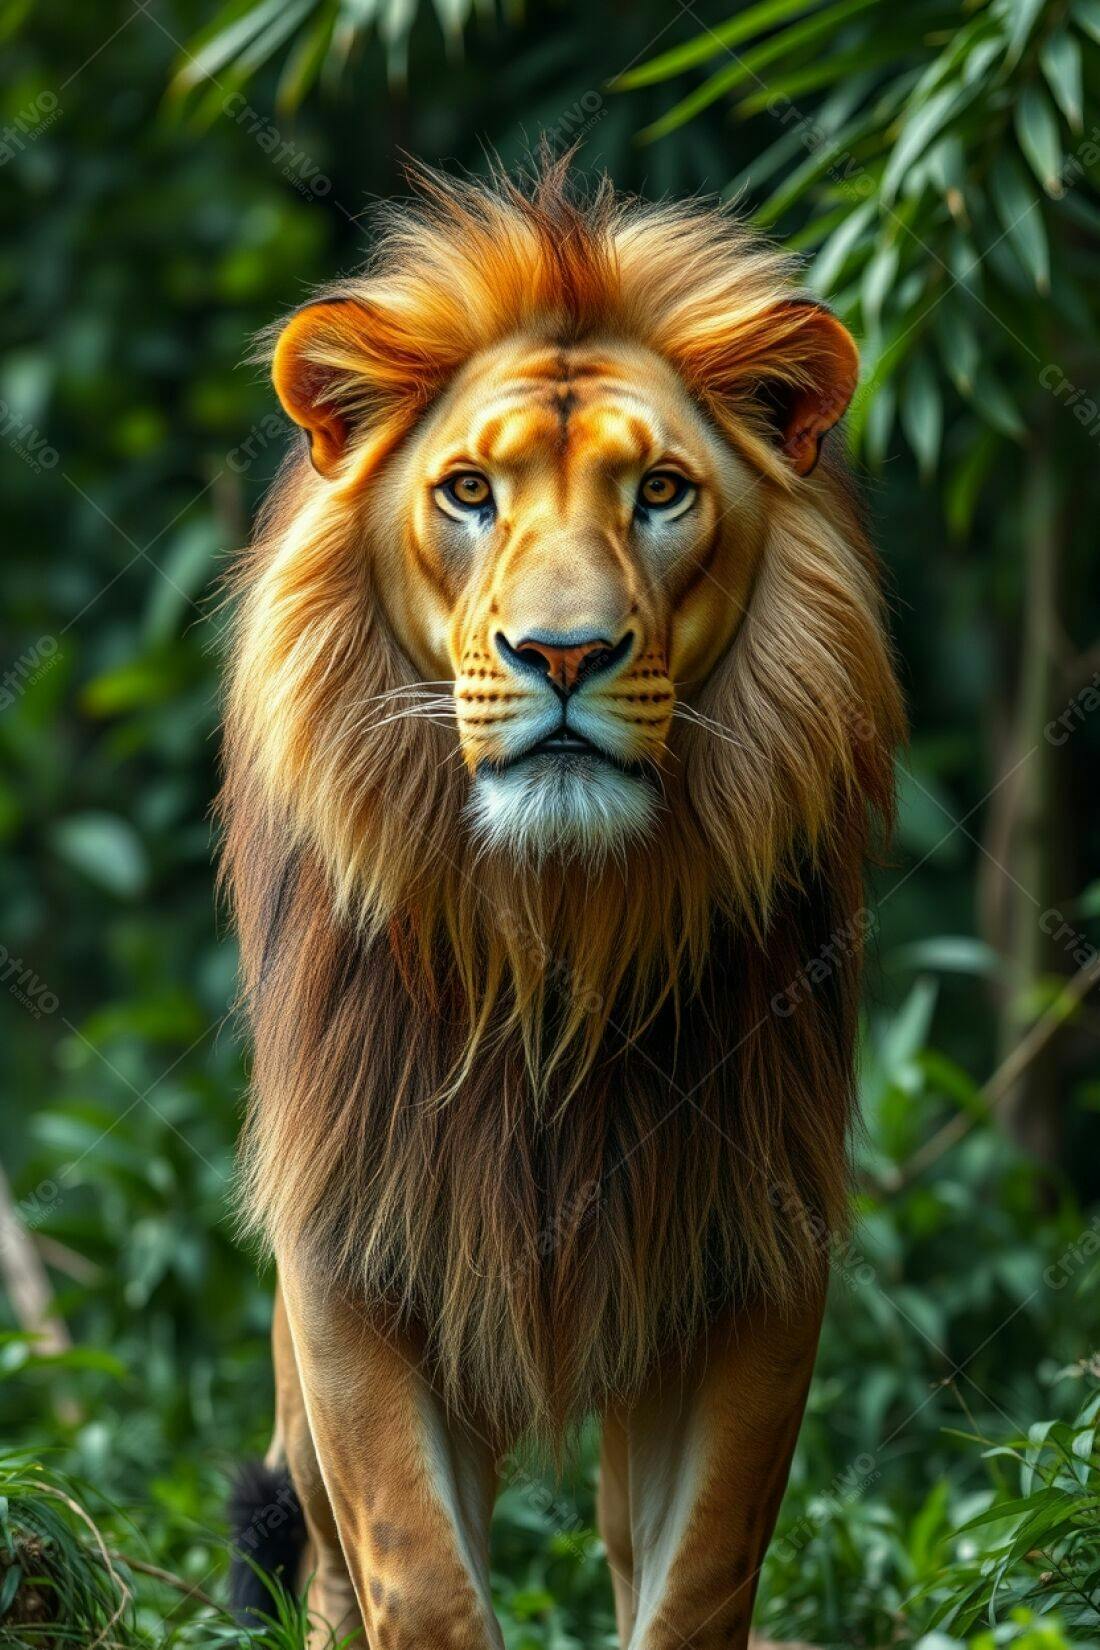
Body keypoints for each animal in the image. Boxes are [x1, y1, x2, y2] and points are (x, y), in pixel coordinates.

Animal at [220, 155, 904, 1650]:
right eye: (469, 491)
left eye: (661, 492)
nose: (565, 652)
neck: (556, 941)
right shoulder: (352, 1241)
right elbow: (418, 1574)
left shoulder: (751, 1252)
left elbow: (695, 1579)